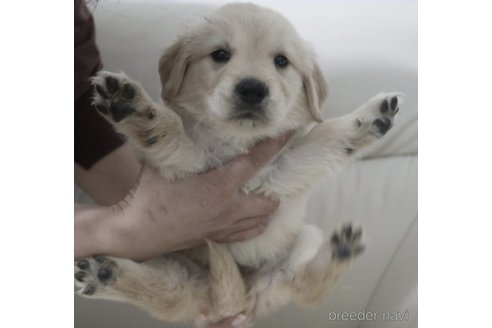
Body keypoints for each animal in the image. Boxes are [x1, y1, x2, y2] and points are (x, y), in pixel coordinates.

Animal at [75, 3, 402, 328]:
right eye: (220, 54)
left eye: (281, 61)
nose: (253, 89)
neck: (238, 140)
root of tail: (234, 295)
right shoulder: (194, 166)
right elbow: (174, 133)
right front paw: (138, 111)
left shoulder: (282, 171)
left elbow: (326, 135)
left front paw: (370, 118)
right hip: (164, 257)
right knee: (164, 292)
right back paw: (104, 274)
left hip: (301, 243)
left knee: (304, 286)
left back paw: (341, 250)